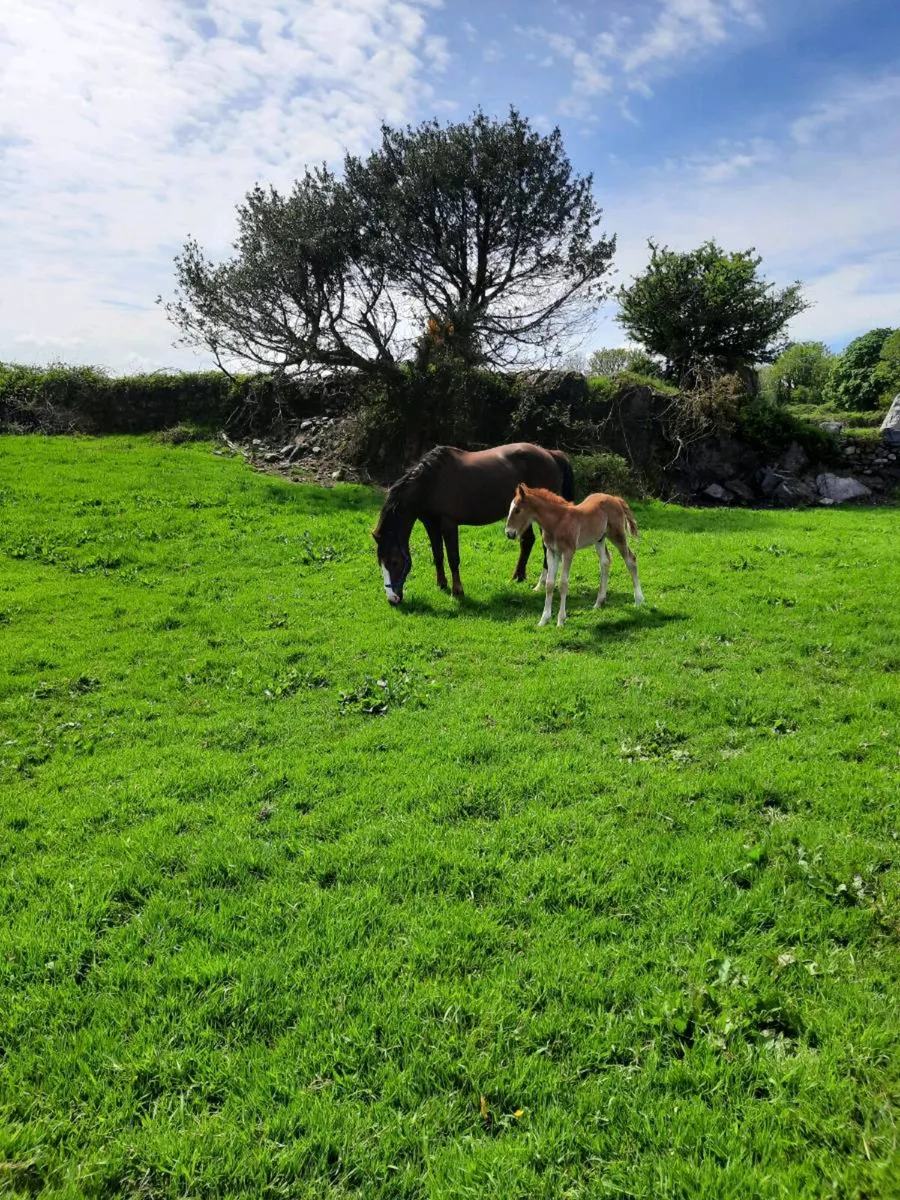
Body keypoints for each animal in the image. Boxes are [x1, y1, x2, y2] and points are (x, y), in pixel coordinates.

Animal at [373, 443, 574, 605]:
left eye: (395, 562)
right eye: (380, 562)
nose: (393, 599)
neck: (430, 484)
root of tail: (550, 453)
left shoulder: (448, 524)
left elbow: (453, 558)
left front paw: (457, 592)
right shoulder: (430, 524)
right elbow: (438, 555)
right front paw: (441, 585)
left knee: (547, 547)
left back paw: (541, 584)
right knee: (527, 542)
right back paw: (517, 577)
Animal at [504, 484, 644, 627]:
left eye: (517, 510)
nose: (509, 533)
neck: (557, 522)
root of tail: (615, 499)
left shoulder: (568, 552)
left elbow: (563, 584)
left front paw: (560, 621)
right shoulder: (552, 552)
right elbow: (549, 584)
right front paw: (543, 620)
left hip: (617, 535)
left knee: (631, 560)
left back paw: (638, 600)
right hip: (599, 539)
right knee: (605, 562)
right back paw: (599, 602)